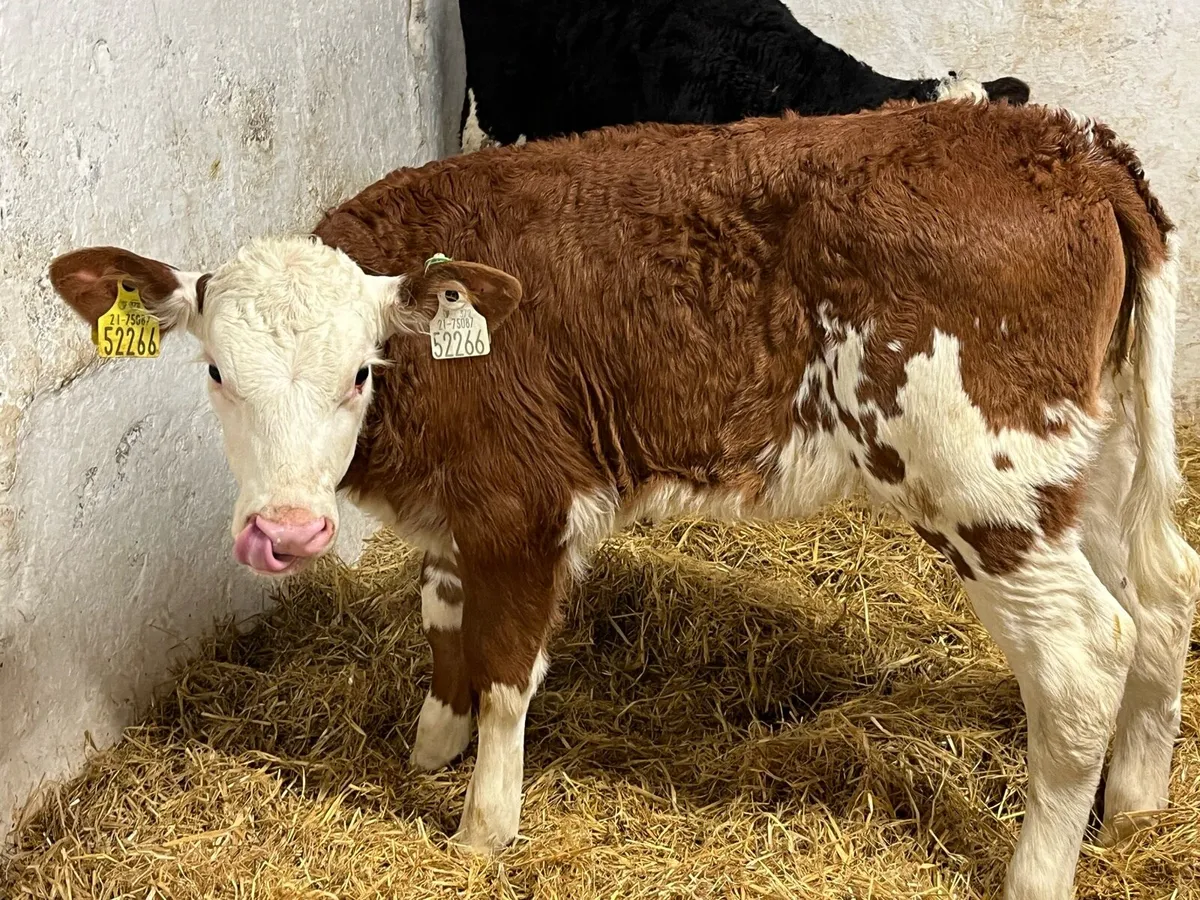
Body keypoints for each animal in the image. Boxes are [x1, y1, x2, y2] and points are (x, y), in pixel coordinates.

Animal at [48, 99, 1197, 899]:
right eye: (214, 373)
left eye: (359, 373)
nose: (286, 531)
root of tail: (1062, 143)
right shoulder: (458, 515)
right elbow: (442, 622)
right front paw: (428, 752)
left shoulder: (523, 505)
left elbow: (504, 670)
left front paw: (481, 829)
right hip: (1087, 462)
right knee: (1161, 596)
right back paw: (1136, 809)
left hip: (983, 483)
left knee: (1085, 653)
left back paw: (1038, 871)